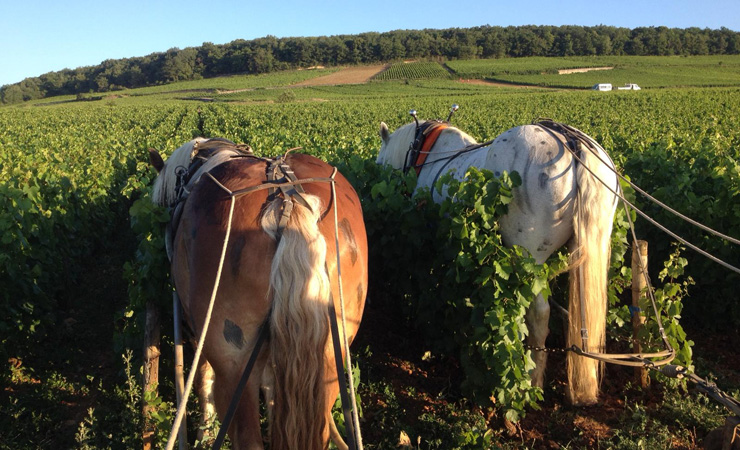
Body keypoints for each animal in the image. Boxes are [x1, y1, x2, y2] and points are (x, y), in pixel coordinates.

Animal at [149, 139, 368, 448]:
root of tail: (285, 202)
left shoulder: (198, 334)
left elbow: (203, 377)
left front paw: (205, 432)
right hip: (330, 359)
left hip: (234, 365)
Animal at [376, 118, 620, 406]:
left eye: (379, 162)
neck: (426, 156)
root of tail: (573, 143)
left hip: (530, 255)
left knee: (539, 314)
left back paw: (533, 379)